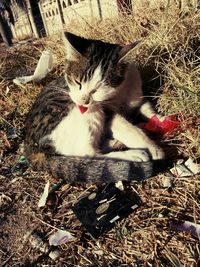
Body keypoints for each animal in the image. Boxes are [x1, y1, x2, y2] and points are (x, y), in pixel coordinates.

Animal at [23, 31, 164, 184]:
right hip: (86, 113)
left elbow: (147, 109)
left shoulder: (137, 98)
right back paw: (132, 155)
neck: (120, 92)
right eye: (77, 82)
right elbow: (129, 130)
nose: (83, 100)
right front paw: (153, 147)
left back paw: (115, 143)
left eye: (99, 88)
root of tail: (30, 148)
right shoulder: (107, 112)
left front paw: (162, 119)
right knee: (88, 153)